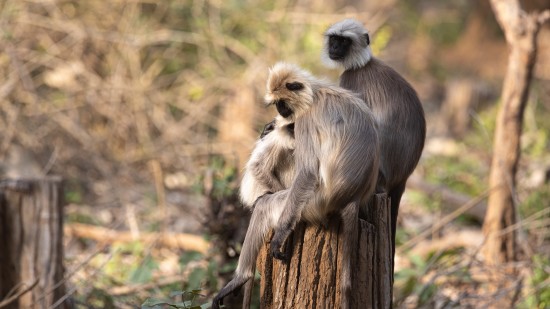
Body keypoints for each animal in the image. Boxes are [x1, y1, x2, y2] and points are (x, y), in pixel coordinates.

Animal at [213, 62, 382, 308]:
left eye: (282, 103)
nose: (281, 112)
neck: (316, 93)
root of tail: (353, 196)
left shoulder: (306, 120)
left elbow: (308, 172)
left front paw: (279, 236)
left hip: (313, 203)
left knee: (266, 205)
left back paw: (241, 277)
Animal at [326, 18, 430, 256]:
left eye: (343, 42)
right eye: (334, 39)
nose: (333, 48)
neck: (361, 64)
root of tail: (403, 177)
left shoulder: (350, 80)